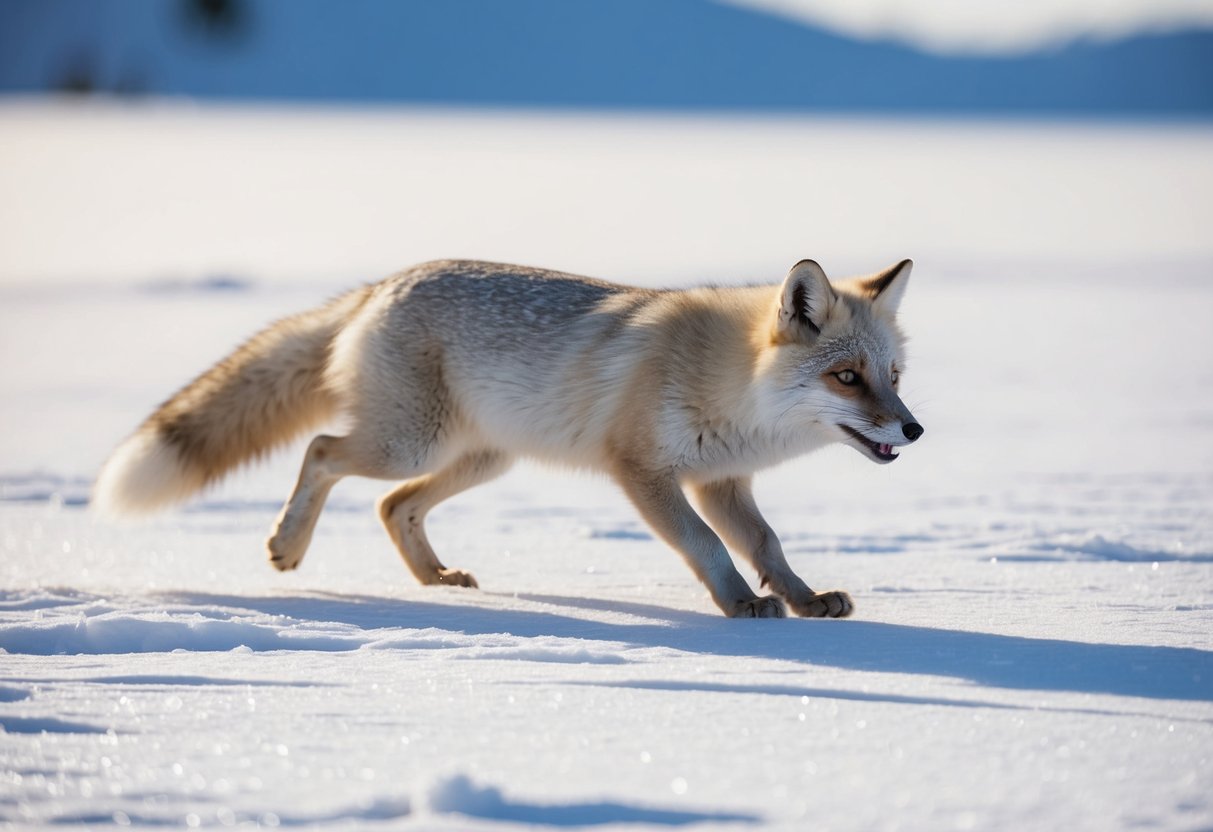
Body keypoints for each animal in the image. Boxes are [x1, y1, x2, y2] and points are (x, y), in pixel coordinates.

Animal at [93, 258, 923, 619]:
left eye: (892, 375)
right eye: (846, 377)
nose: (913, 429)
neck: (729, 383)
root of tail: (384, 281)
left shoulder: (720, 481)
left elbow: (766, 547)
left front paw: (803, 599)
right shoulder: (645, 473)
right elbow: (707, 549)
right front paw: (741, 607)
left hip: (481, 460)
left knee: (392, 505)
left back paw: (433, 579)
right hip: (411, 443)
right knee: (322, 451)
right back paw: (287, 547)